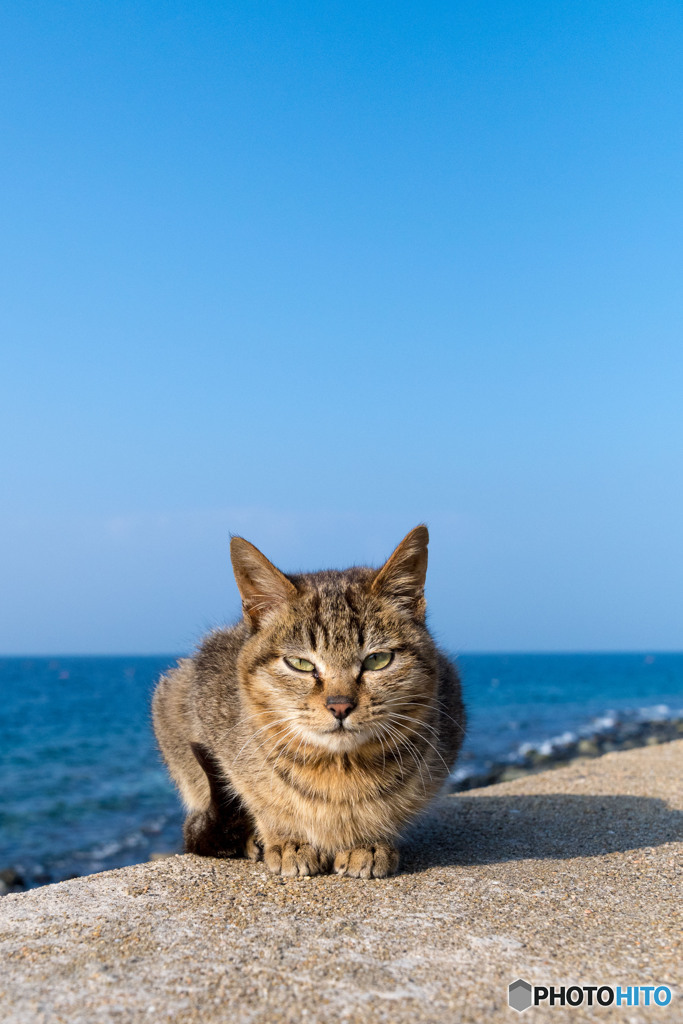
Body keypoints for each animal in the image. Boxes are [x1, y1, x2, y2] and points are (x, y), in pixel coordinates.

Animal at [152, 528, 466, 880]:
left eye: (377, 660)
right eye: (301, 664)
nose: (340, 706)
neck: (340, 770)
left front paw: (368, 842)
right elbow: (258, 798)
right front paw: (286, 839)